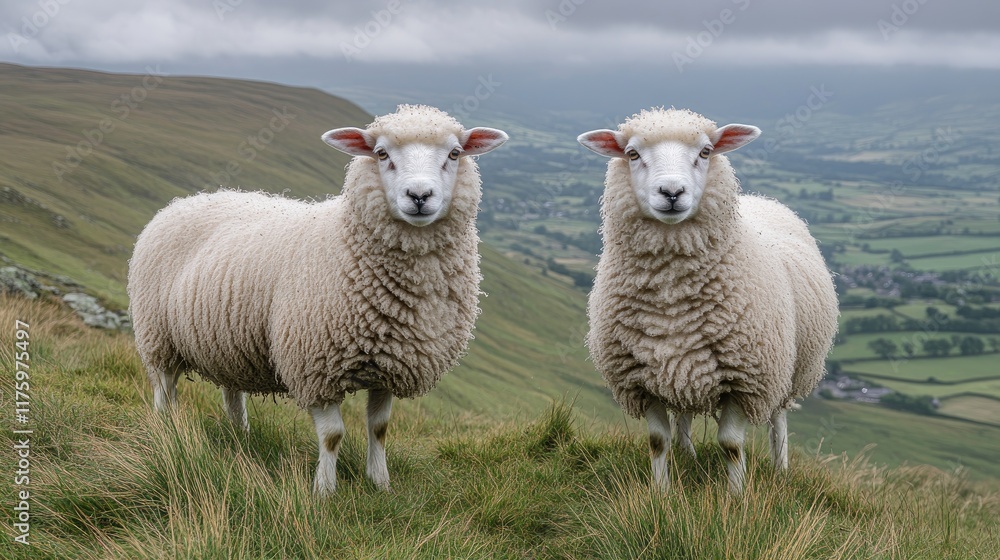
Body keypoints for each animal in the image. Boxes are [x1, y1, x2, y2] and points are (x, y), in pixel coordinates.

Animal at [128, 104, 508, 495]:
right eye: (381, 154)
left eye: (454, 153)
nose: (419, 195)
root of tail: (184, 201)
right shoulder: (315, 366)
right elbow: (332, 436)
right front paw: (324, 491)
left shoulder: (390, 364)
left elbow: (379, 429)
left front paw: (380, 484)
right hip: (158, 336)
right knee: (164, 391)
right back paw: (167, 433)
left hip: (228, 345)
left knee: (232, 396)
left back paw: (240, 438)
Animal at [578, 108, 838, 494]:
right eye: (632, 154)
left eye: (705, 152)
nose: (672, 192)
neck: (671, 296)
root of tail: (763, 199)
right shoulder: (641, 378)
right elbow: (657, 441)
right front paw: (661, 494)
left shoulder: (745, 379)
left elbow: (731, 445)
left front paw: (736, 497)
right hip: (682, 365)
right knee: (684, 412)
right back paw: (687, 454)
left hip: (787, 368)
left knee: (778, 420)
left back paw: (781, 468)